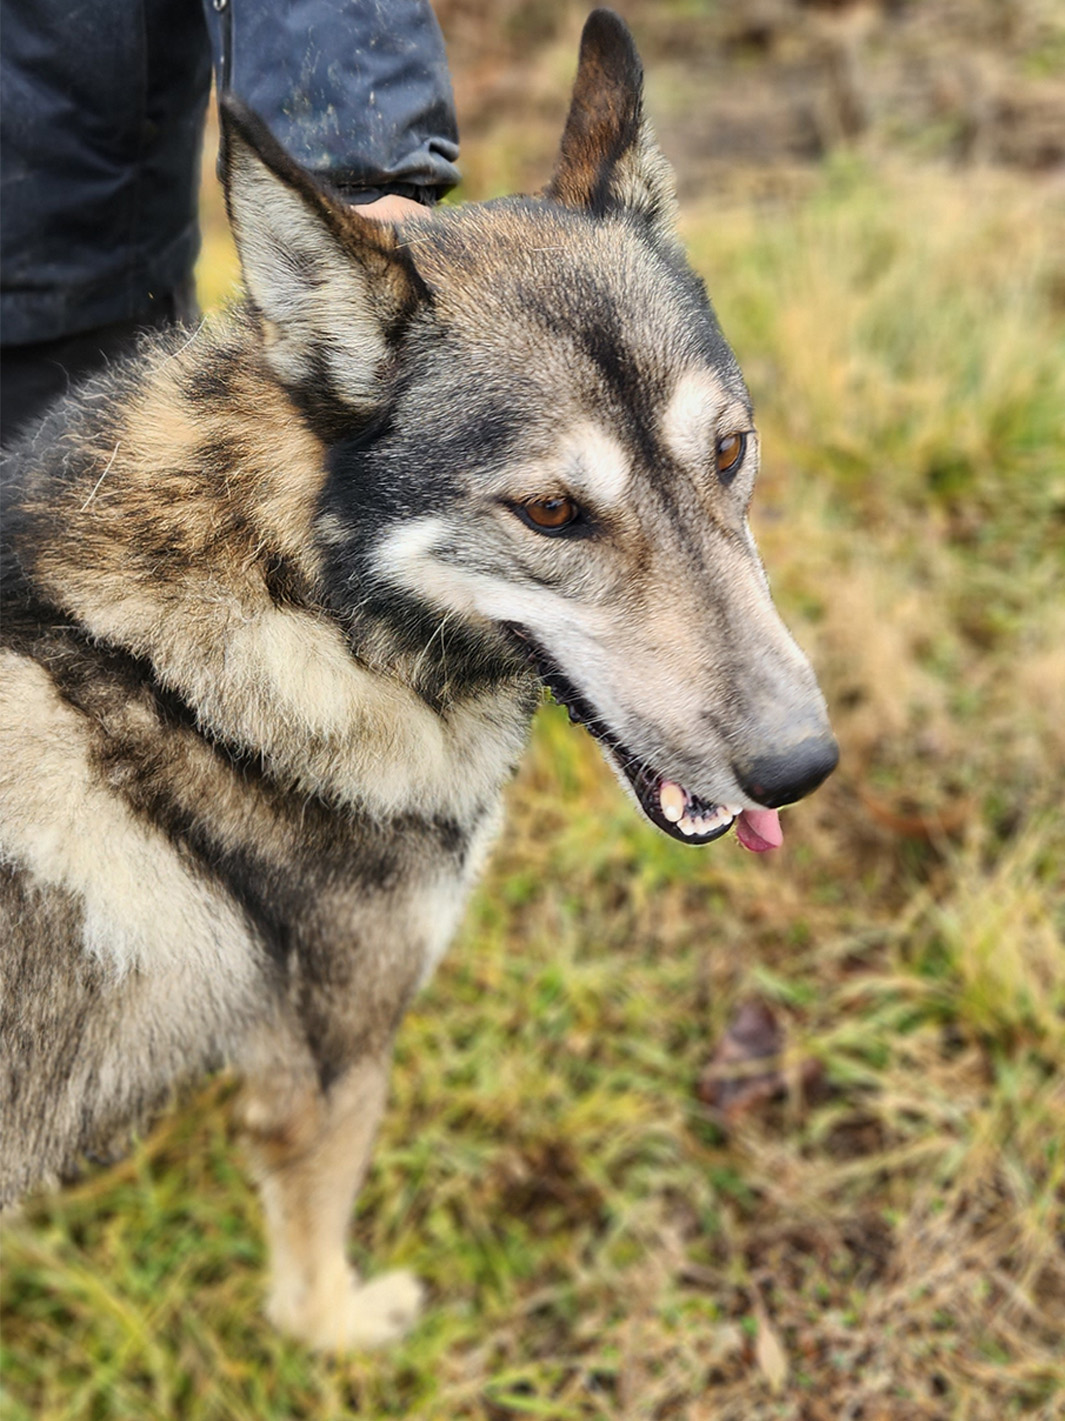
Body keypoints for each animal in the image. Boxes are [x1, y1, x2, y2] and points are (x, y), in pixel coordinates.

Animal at [0, 8, 836, 1341]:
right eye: (552, 511)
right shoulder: (330, 1060)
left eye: (730, 450)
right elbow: (309, 1267)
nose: (803, 766)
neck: (299, 607)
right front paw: (345, 1330)